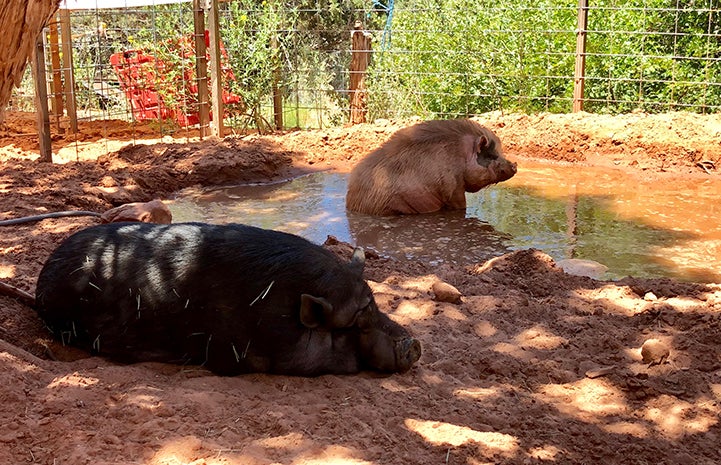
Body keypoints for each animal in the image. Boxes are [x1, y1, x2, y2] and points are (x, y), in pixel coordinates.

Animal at [346, 118, 516, 215]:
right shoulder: (453, 188)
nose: (515, 165)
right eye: (491, 156)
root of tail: (352, 202)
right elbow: (460, 205)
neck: (460, 156)